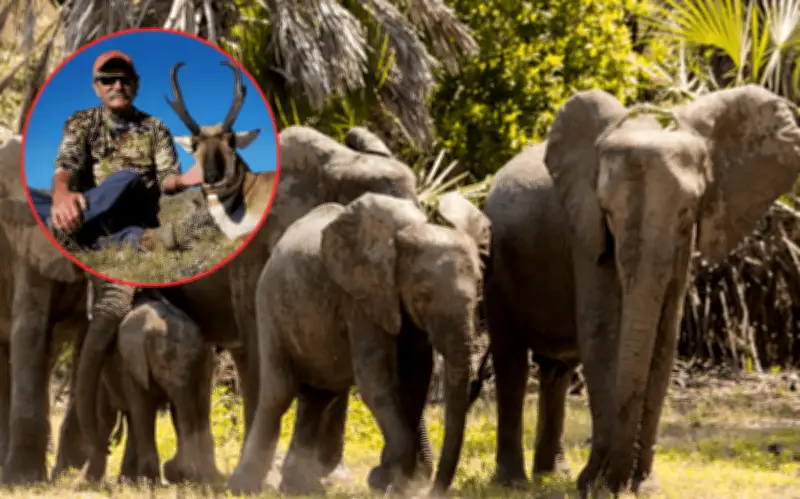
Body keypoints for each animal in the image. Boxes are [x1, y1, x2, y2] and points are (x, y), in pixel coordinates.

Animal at [226, 190, 491, 497]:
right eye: (423, 294)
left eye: (480, 289)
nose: (431, 489)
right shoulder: (360, 298)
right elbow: (375, 381)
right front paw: (390, 483)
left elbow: (416, 377)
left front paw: (391, 482)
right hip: (269, 306)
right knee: (278, 392)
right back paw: (244, 487)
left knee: (319, 397)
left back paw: (299, 488)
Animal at [476, 84, 800, 497]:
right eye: (608, 212)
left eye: (686, 211)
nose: (616, 481)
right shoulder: (584, 231)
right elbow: (601, 337)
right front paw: (595, 486)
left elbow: (664, 340)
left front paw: (642, 487)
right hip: (496, 265)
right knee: (512, 361)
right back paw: (514, 482)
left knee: (557, 370)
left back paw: (552, 475)